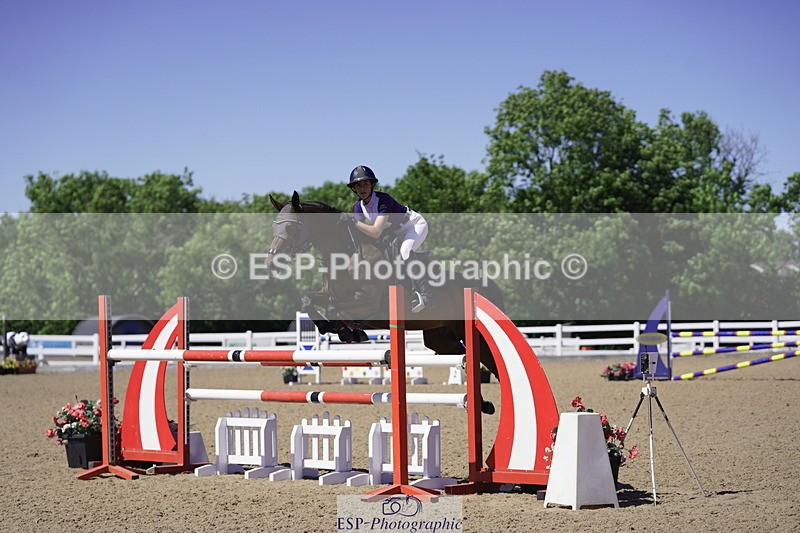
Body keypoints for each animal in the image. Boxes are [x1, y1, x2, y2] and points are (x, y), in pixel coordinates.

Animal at [265, 192, 507, 396]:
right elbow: (309, 300)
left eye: (291, 228)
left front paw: (347, 332)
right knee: (465, 358)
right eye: (275, 227)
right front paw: (338, 329)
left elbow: (334, 309)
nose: (271, 263)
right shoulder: (329, 293)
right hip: (441, 339)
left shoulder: (368, 302)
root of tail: (485, 287)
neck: (346, 254)